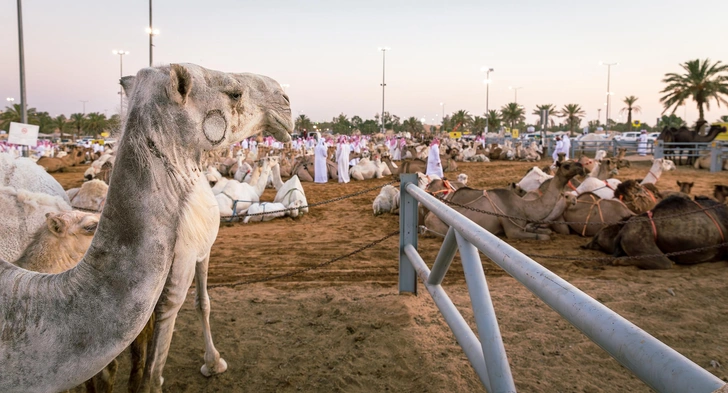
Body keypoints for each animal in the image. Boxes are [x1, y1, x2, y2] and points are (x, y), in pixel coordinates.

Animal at [420, 159, 584, 239]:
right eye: (566, 165)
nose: (581, 166)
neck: (524, 207)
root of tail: (427, 217)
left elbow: (547, 232)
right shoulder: (513, 231)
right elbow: (544, 237)